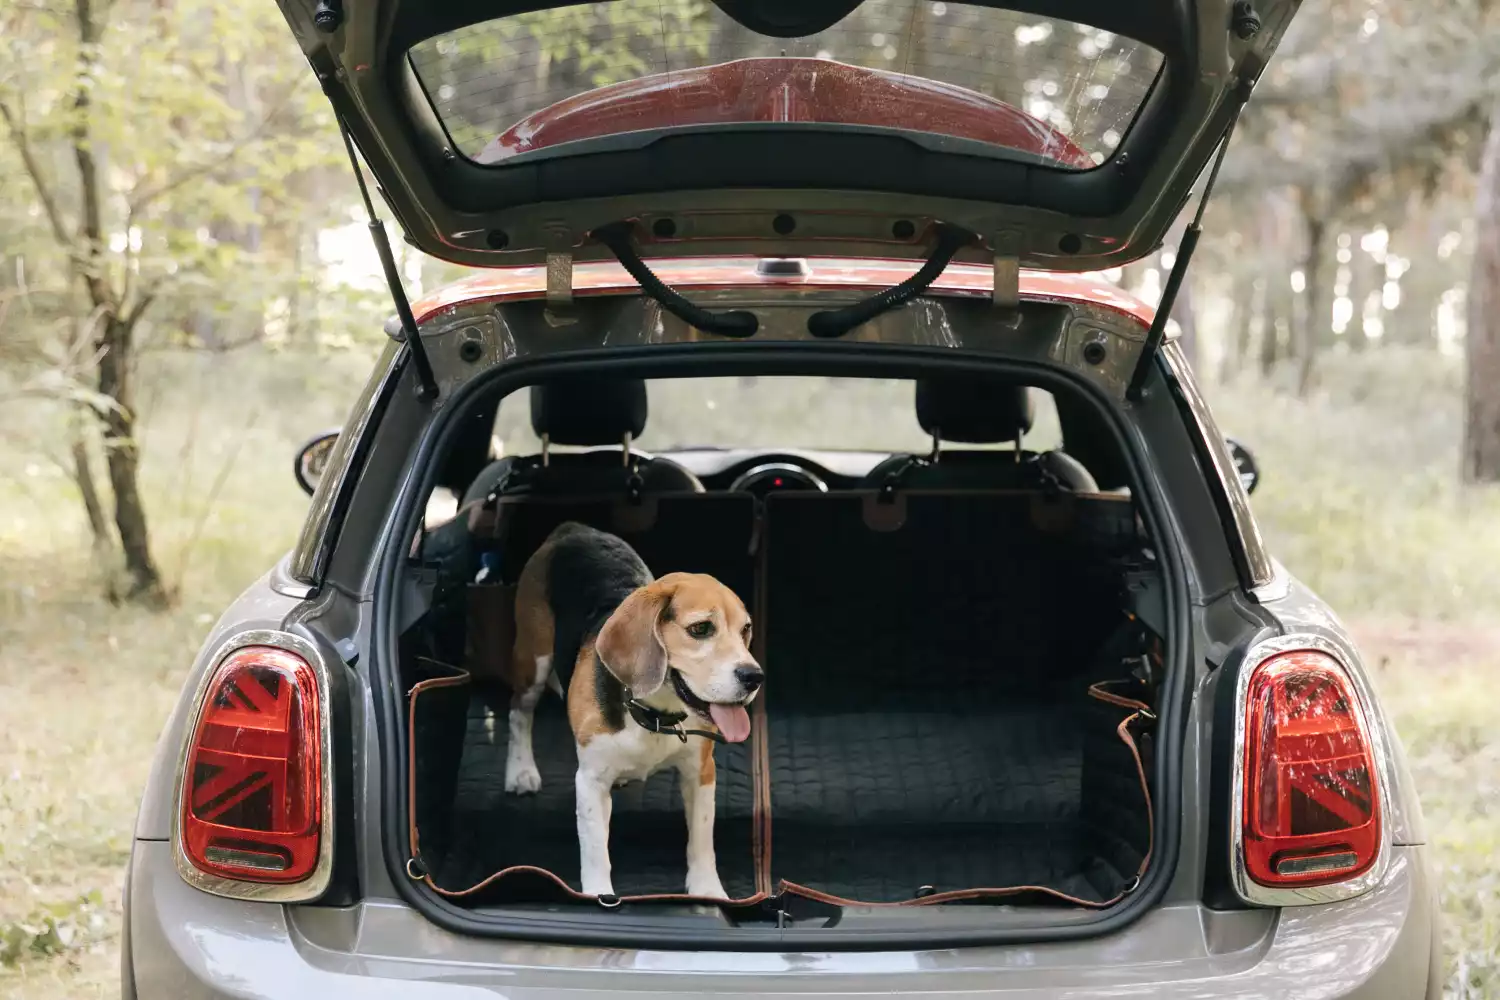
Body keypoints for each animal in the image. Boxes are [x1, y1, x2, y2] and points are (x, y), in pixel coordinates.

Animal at [504, 524, 762, 899]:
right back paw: (520, 771)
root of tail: (572, 528)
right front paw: (599, 896)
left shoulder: (700, 772)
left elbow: (702, 840)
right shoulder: (590, 782)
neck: (655, 715)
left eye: (745, 630)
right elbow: (596, 852)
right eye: (700, 629)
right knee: (518, 714)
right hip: (533, 662)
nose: (754, 677)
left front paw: (708, 891)